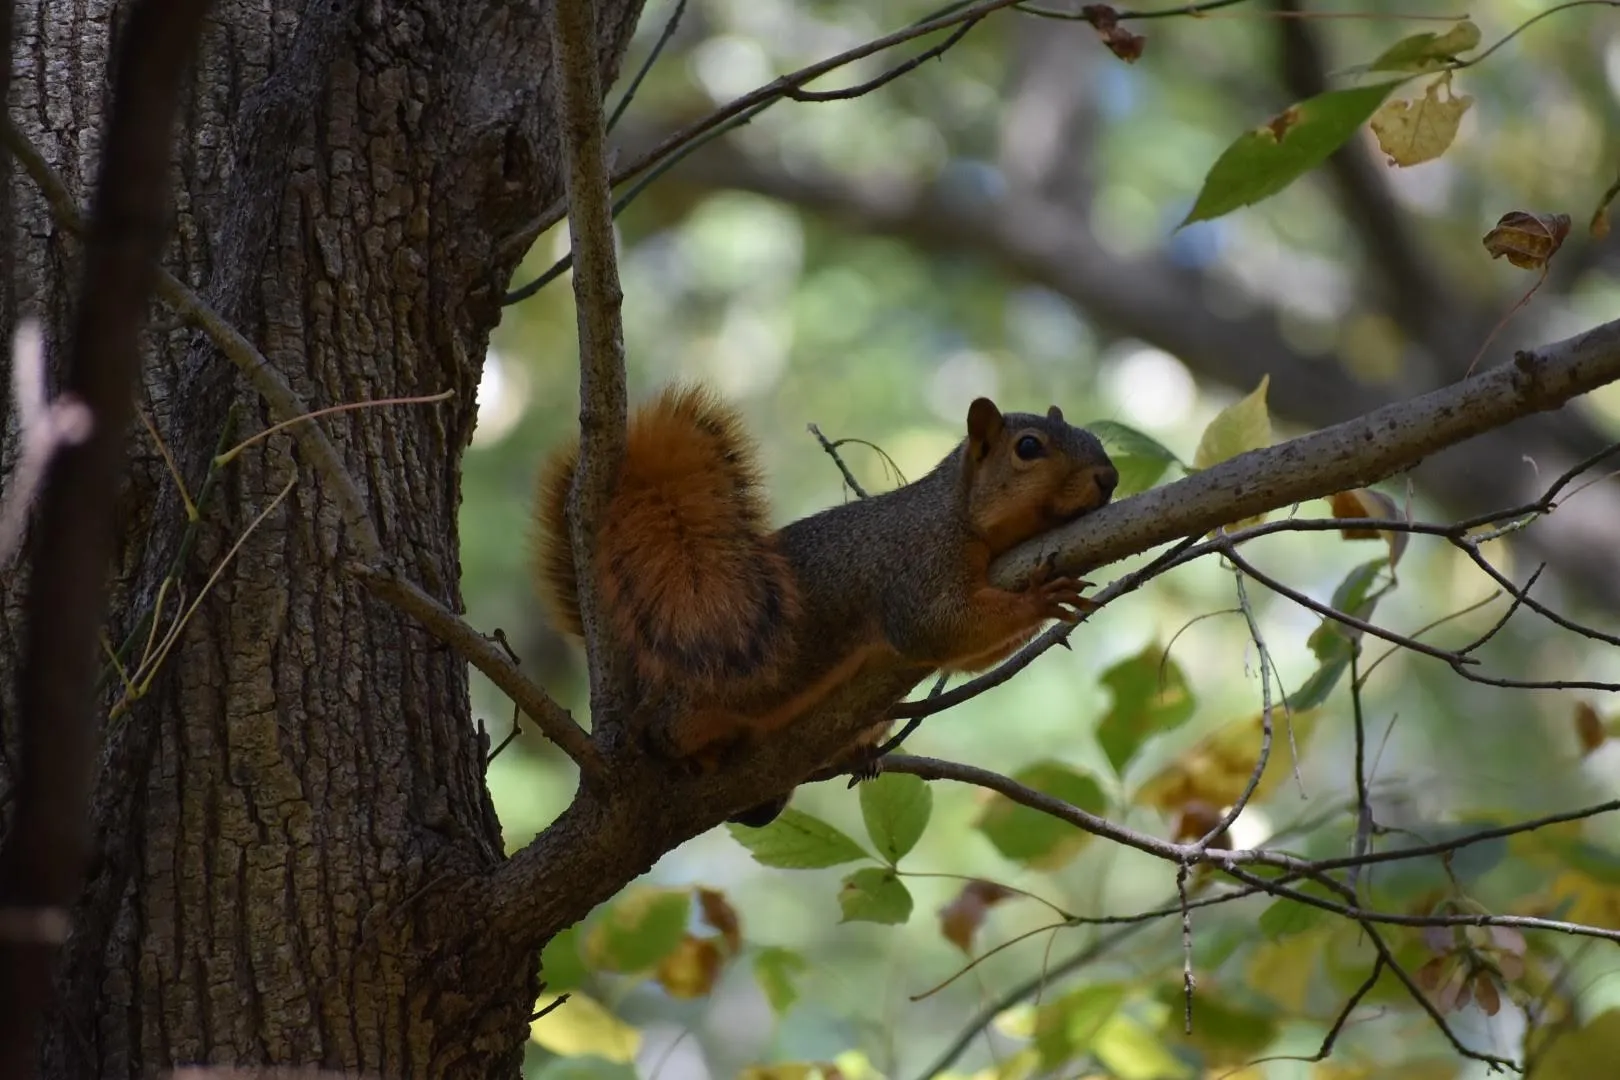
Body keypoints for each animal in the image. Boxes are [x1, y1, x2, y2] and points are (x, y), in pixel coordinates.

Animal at [532, 385, 1118, 821]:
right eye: (1029, 448)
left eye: (1094, 436)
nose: (1110, 479)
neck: (959, 512)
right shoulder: (917, 566)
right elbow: (934, 628)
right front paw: (1038, 600)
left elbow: (964, 654)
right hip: (693, 698)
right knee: (662, 730)